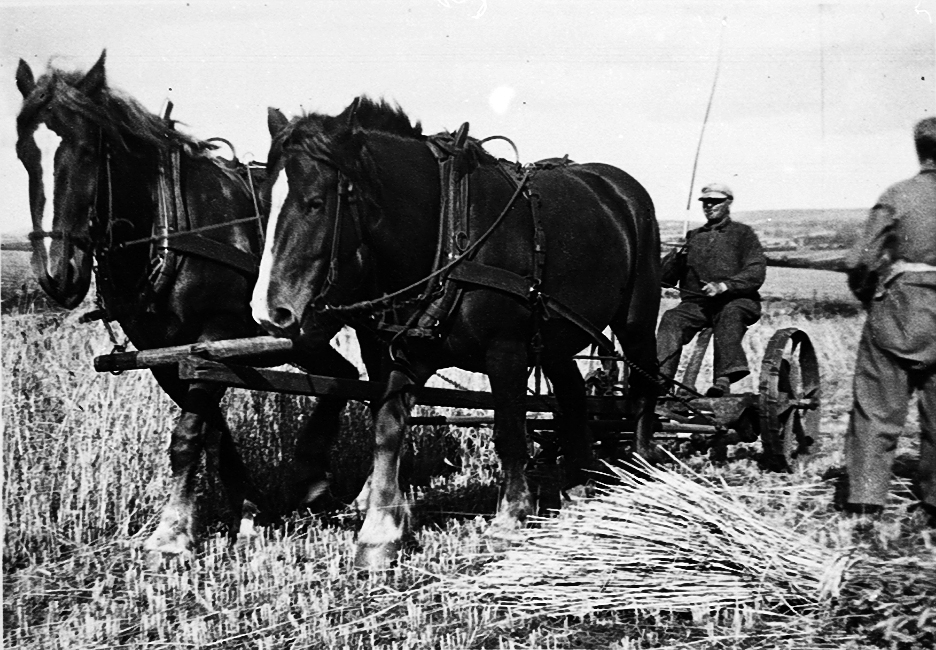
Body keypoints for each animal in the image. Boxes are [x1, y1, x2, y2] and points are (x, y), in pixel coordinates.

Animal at [14, 51, 380, 556]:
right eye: (22, 153)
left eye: (87, 150)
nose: (57, 274)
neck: (170, 225)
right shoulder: (167, 354)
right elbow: (213, 432)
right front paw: (249, 511)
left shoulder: (216, 332)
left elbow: (189, 433)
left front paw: (172, 532)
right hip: (303, 336)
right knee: (343, 378)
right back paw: (319, 486)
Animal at [252, 96, 662, 569]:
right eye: (264, 201)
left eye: (316, 203)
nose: (269, 311)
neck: (447, 227)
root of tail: (618, 187)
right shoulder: (401, 352)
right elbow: (387, 430)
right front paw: (379, 533)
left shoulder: (506, 350)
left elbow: (509, 430)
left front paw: (510, 518)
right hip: (556, 336)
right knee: (573, 393)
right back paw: (580, 480)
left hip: (636, 319)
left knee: (645, 384)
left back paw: (643, 468)